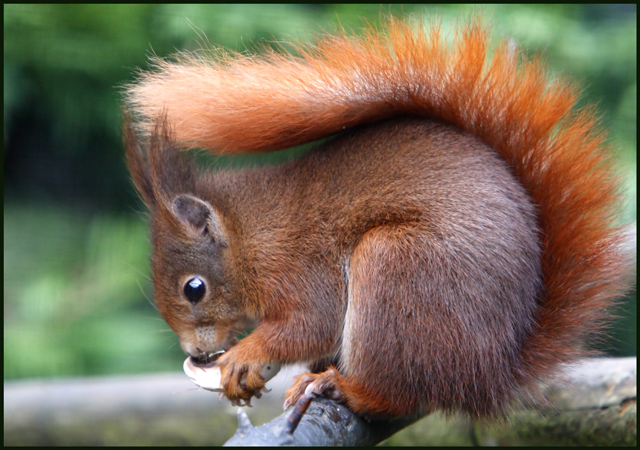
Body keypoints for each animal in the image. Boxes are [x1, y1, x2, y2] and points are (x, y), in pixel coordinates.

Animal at [124, 17, 632, 418]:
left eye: (194, 288)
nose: (195, 352)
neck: (250, 235)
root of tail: (492, 373)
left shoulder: (297, 266)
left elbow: (312, 321)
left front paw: (246, 355)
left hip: (399, 270)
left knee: (397, 394)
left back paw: (342, 386)